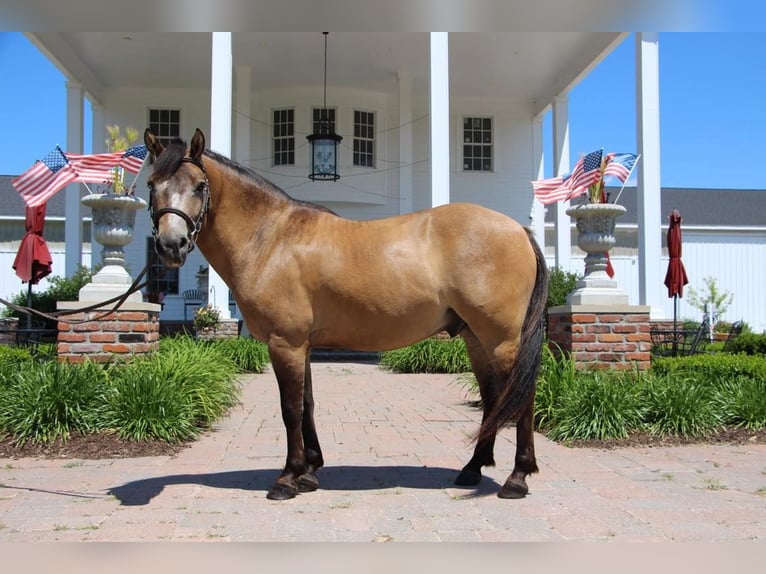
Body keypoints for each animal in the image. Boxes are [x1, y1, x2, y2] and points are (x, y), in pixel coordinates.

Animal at [144, 128, 548, 502]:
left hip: (502, 339)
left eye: (199, 186)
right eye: (152, 185)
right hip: (476, 338)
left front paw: (287, 478)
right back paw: (472, 468)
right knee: (494, 398)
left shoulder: (284, 342)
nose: (171, 245)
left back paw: (517, 478)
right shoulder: (301, 345)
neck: (271, 238)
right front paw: (309, 471)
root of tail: (519, 229)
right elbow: (306, 404)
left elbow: (290, 408)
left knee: (522, 397)